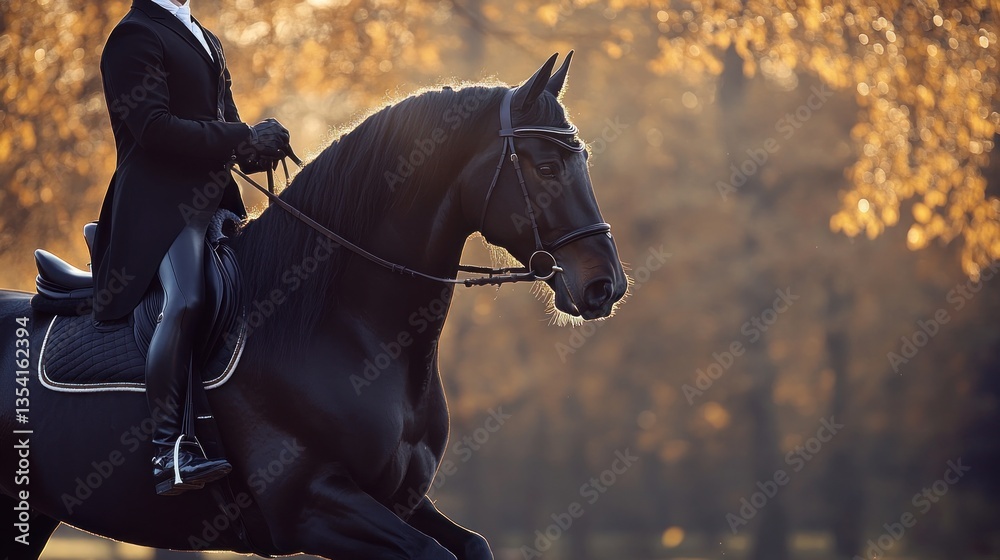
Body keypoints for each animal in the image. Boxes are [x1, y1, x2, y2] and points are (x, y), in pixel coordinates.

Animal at [0, 52, 627, 559]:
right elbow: (432, 552)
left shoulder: (397, 497)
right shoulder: (312, 506)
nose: (606, 285)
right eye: (546, 166)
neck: (342, 328)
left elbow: (473, 545)